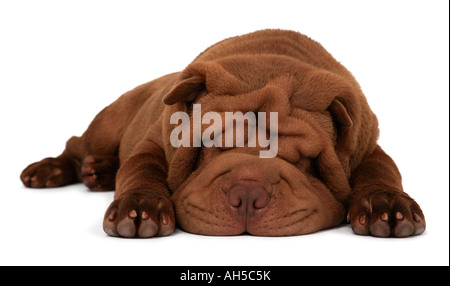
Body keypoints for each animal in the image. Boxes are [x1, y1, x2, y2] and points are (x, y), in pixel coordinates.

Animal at [19, 30, 424, 238]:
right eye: (211, 144)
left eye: (306, 161)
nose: (247, 193)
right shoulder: (154, 143)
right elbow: (140, 169)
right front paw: (140, 206)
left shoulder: (368, 147)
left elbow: (381, 170)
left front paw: (387, 206)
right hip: (109, 122)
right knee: (76, 146)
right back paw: (49, 171)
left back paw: (99, 173)